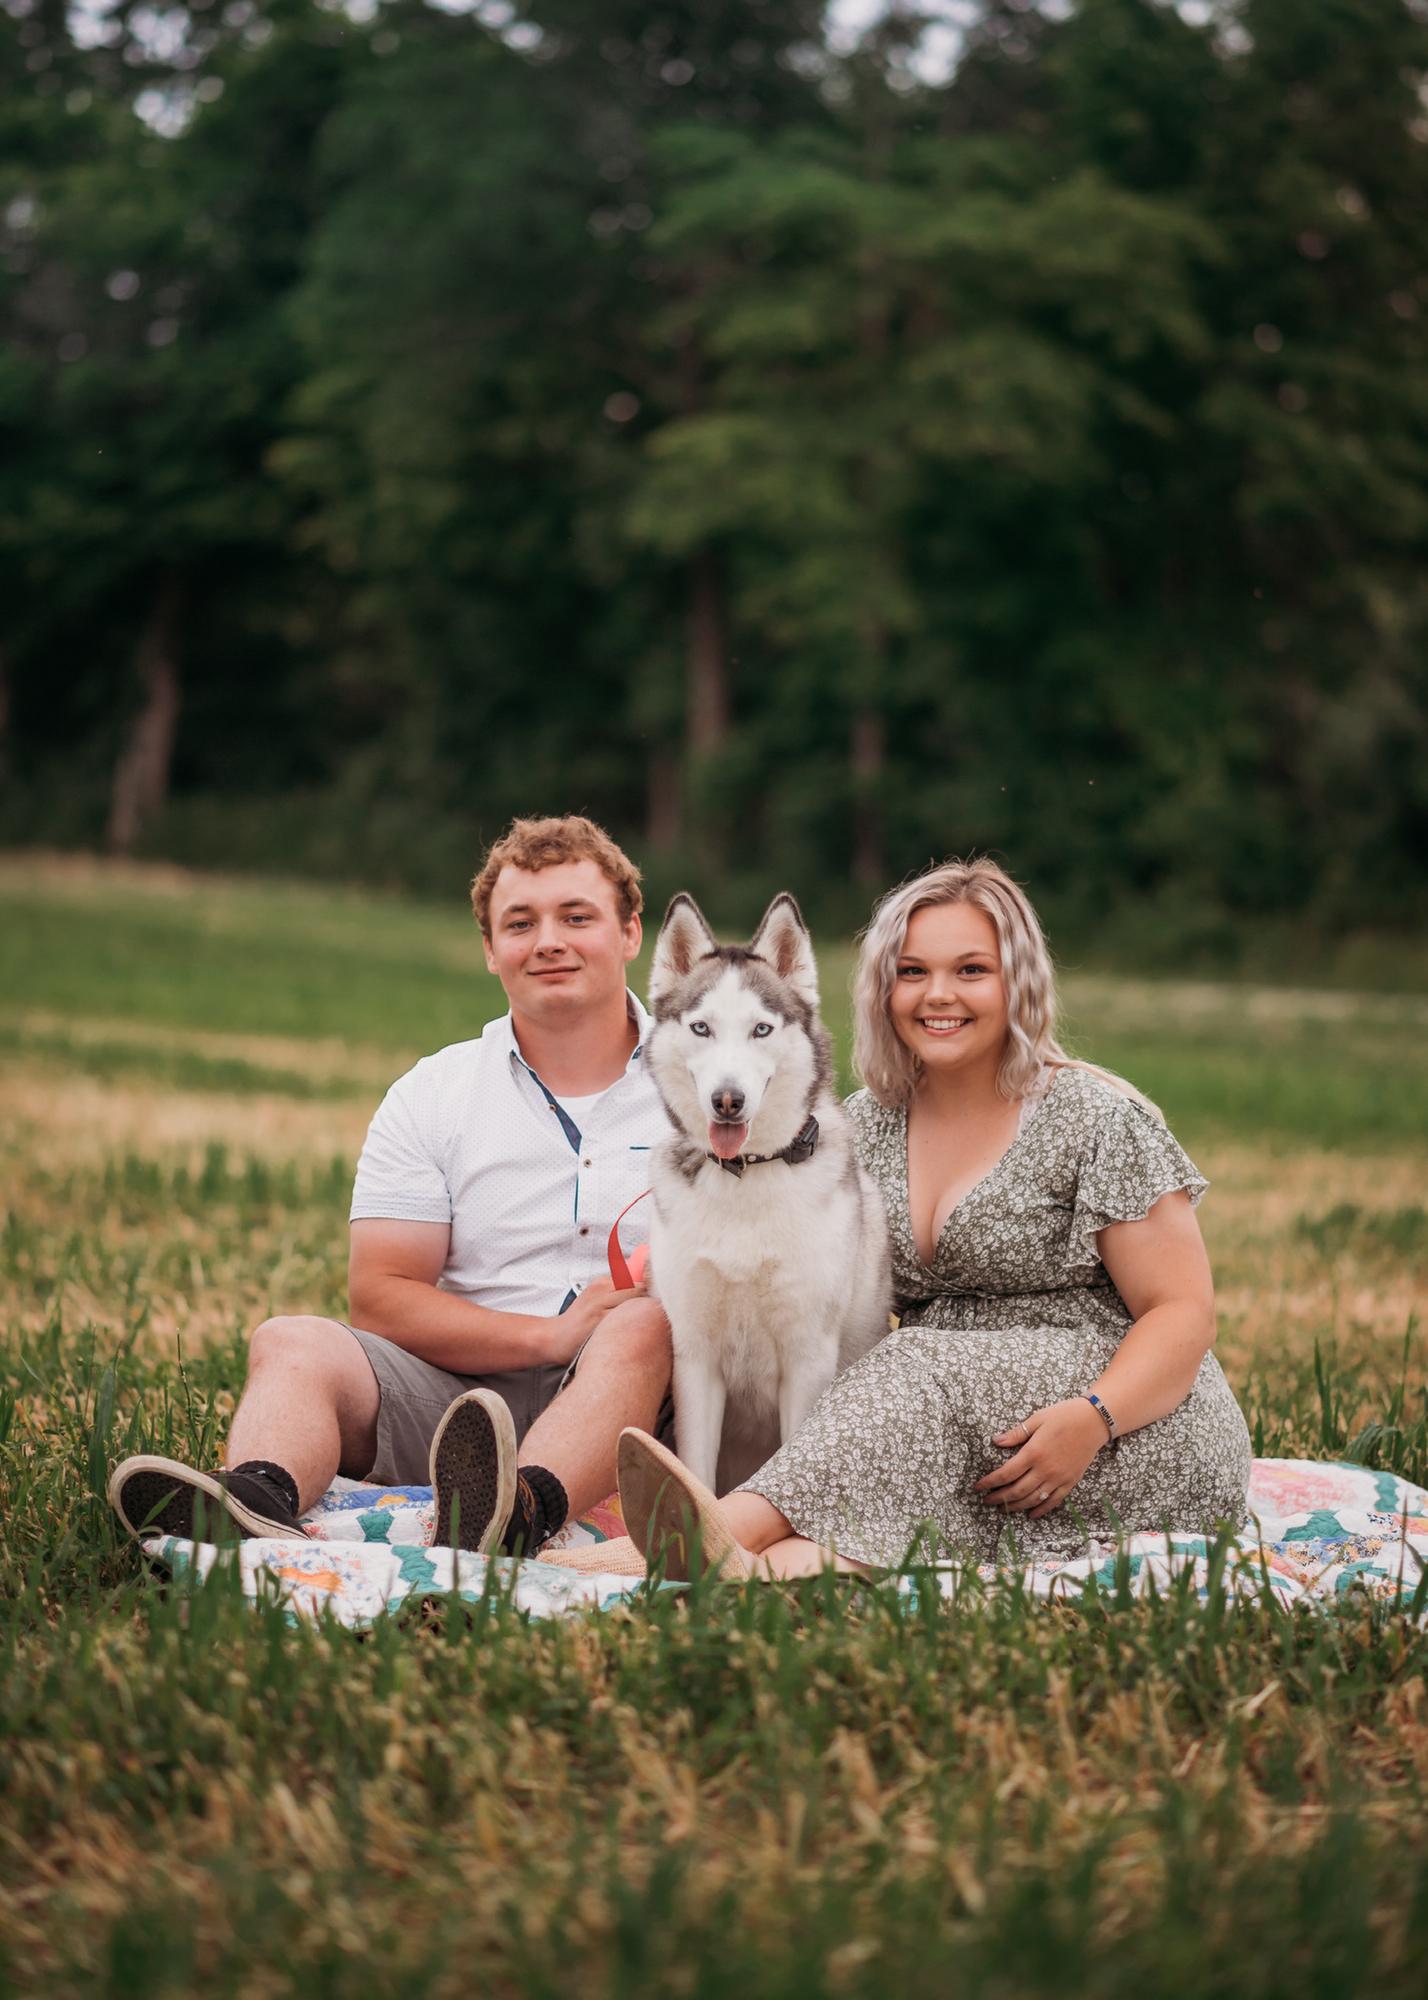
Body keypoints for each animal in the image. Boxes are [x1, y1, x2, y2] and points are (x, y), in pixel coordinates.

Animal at [644, 892, 892, 1494]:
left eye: (761, 1029)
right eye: (701, 1028)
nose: (727, 1100)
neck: (746, 1175)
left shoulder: (807, 1356)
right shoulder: (694, 1357)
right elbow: (695, 1467)